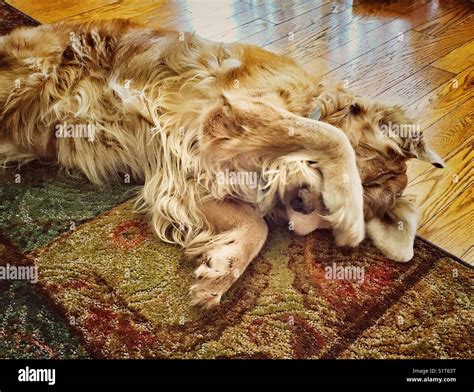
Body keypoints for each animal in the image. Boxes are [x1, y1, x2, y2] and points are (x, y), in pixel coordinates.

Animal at [0, 19, 444, 308]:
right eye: (331, 196)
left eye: (321, 222)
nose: (298, 204)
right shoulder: (230, 110)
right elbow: (328, 135)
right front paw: (349, 209)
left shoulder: (185, 175)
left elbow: (256, 226)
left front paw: (223, 269)